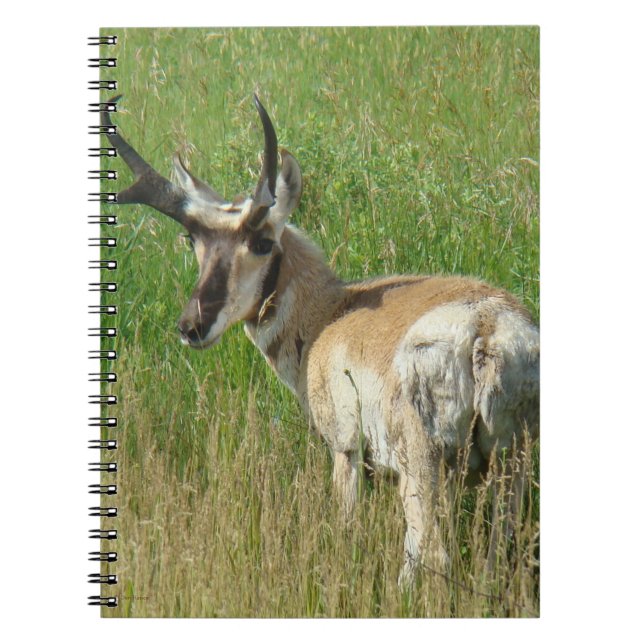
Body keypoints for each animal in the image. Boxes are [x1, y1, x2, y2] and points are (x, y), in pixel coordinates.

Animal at [102, 94, 539, 584]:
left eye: (262, 241)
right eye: (191, 238)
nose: (191, 325)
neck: (331, 312)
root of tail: (484, 328)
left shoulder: (346, 452)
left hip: (424, 464)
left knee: (431, 552)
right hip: (509, 465)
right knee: (497, 555)